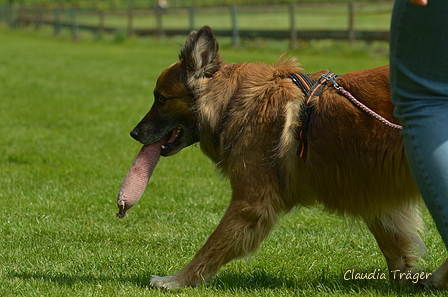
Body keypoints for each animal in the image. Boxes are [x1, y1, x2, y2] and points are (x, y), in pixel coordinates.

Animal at [119, 26, 448, 290]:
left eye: (161, 99)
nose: (134, 133)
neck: (232, 101)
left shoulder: (251, 202)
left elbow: (212, 246)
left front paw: (176, 280)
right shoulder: (372, 190)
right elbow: (393, 242)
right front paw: (403, 278)